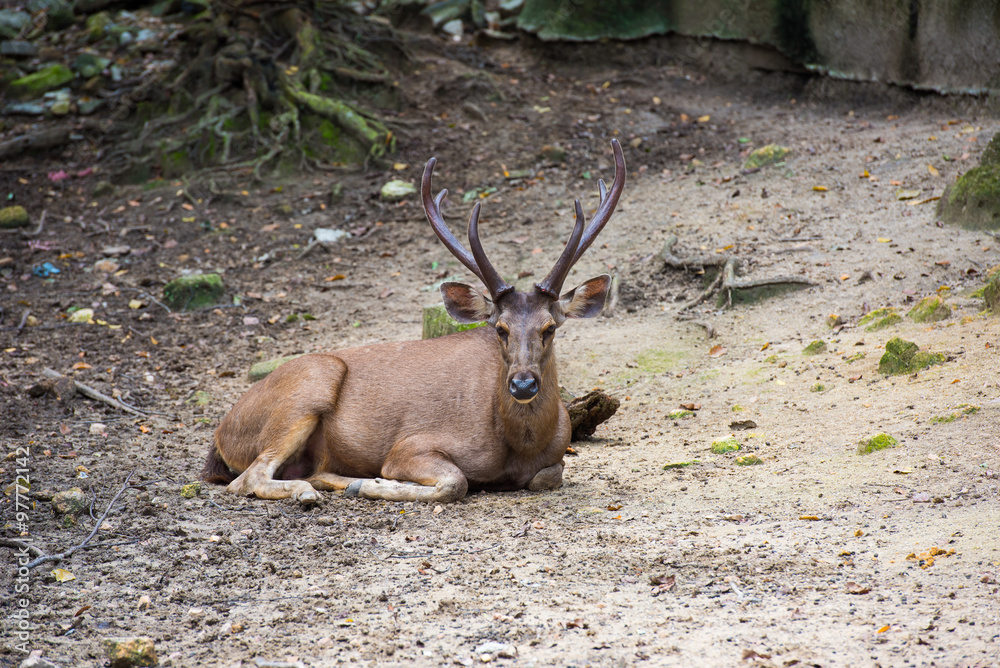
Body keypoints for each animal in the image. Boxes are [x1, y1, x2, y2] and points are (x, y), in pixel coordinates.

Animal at [202, 139, 626, 504]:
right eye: (500, 329)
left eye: (549, 328)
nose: (523, 384)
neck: (519, 446)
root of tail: (221, 433)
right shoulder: (410, 444)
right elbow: (457, 481)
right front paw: (376, 483)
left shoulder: (556, 455)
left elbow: (548, 476)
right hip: (309, 385)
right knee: (247, 478)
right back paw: (321, 490)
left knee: (299, 471)